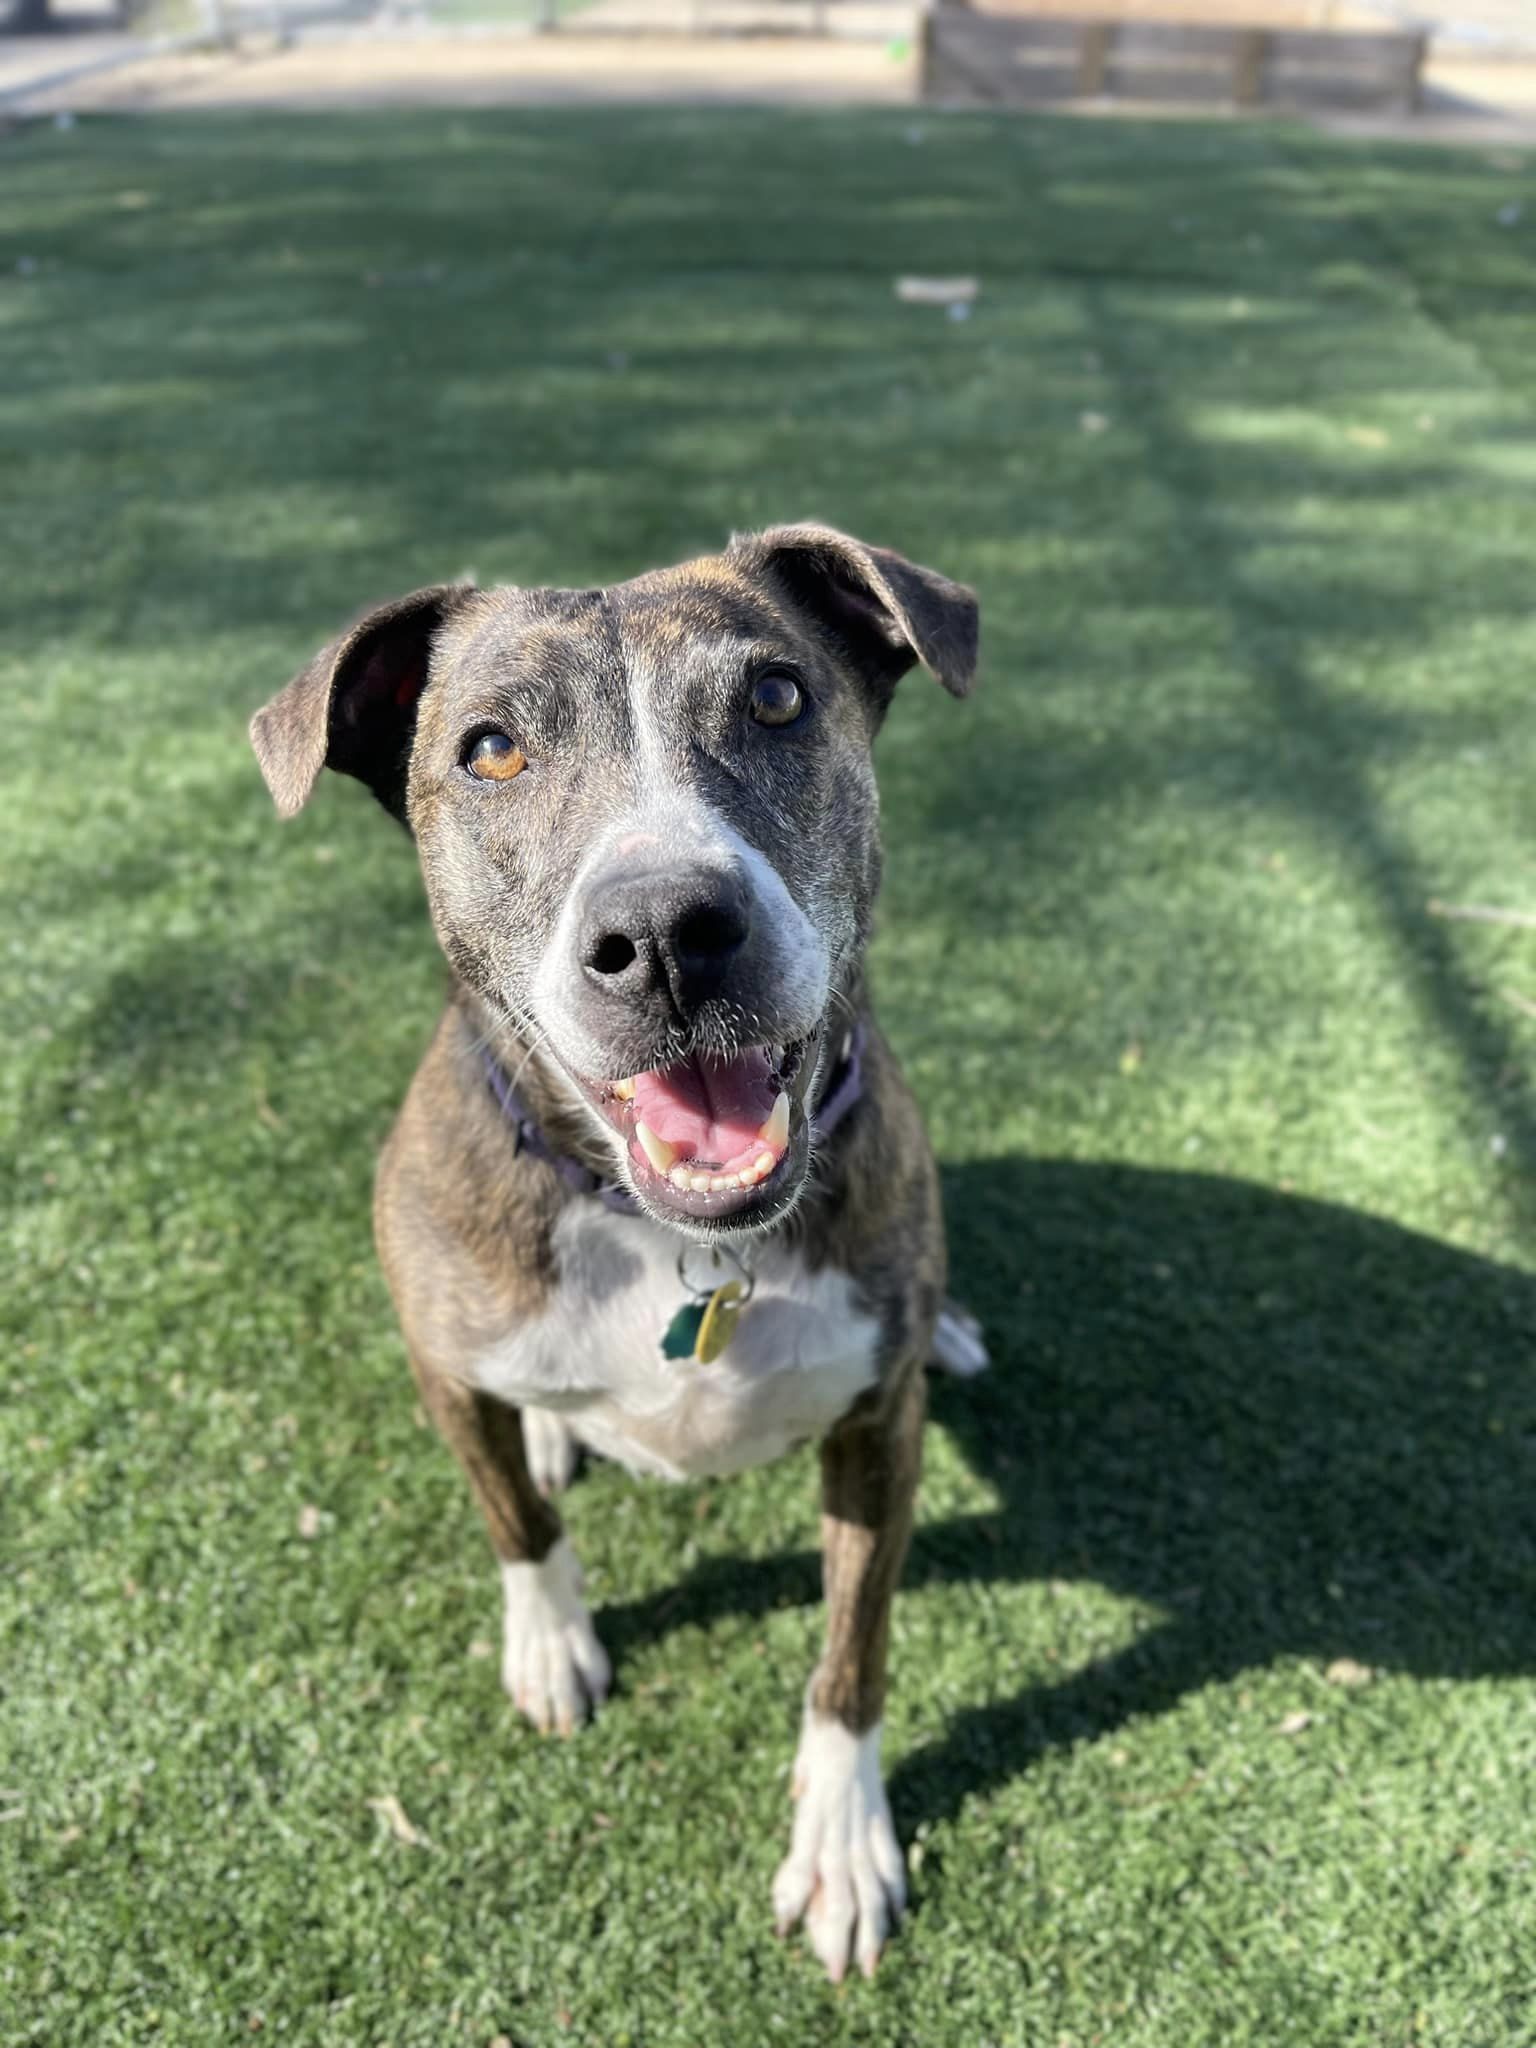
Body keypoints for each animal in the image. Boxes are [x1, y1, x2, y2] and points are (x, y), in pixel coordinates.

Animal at [246, 524, 978, 1982]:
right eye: (489, 750)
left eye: (776, 697)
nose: (665, 937)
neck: (667, 1240)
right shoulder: (441, 1362)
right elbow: (517, 1525)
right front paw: (551, 1644)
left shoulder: (880, 1428)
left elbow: (851, 1653)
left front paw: (842, 1838)